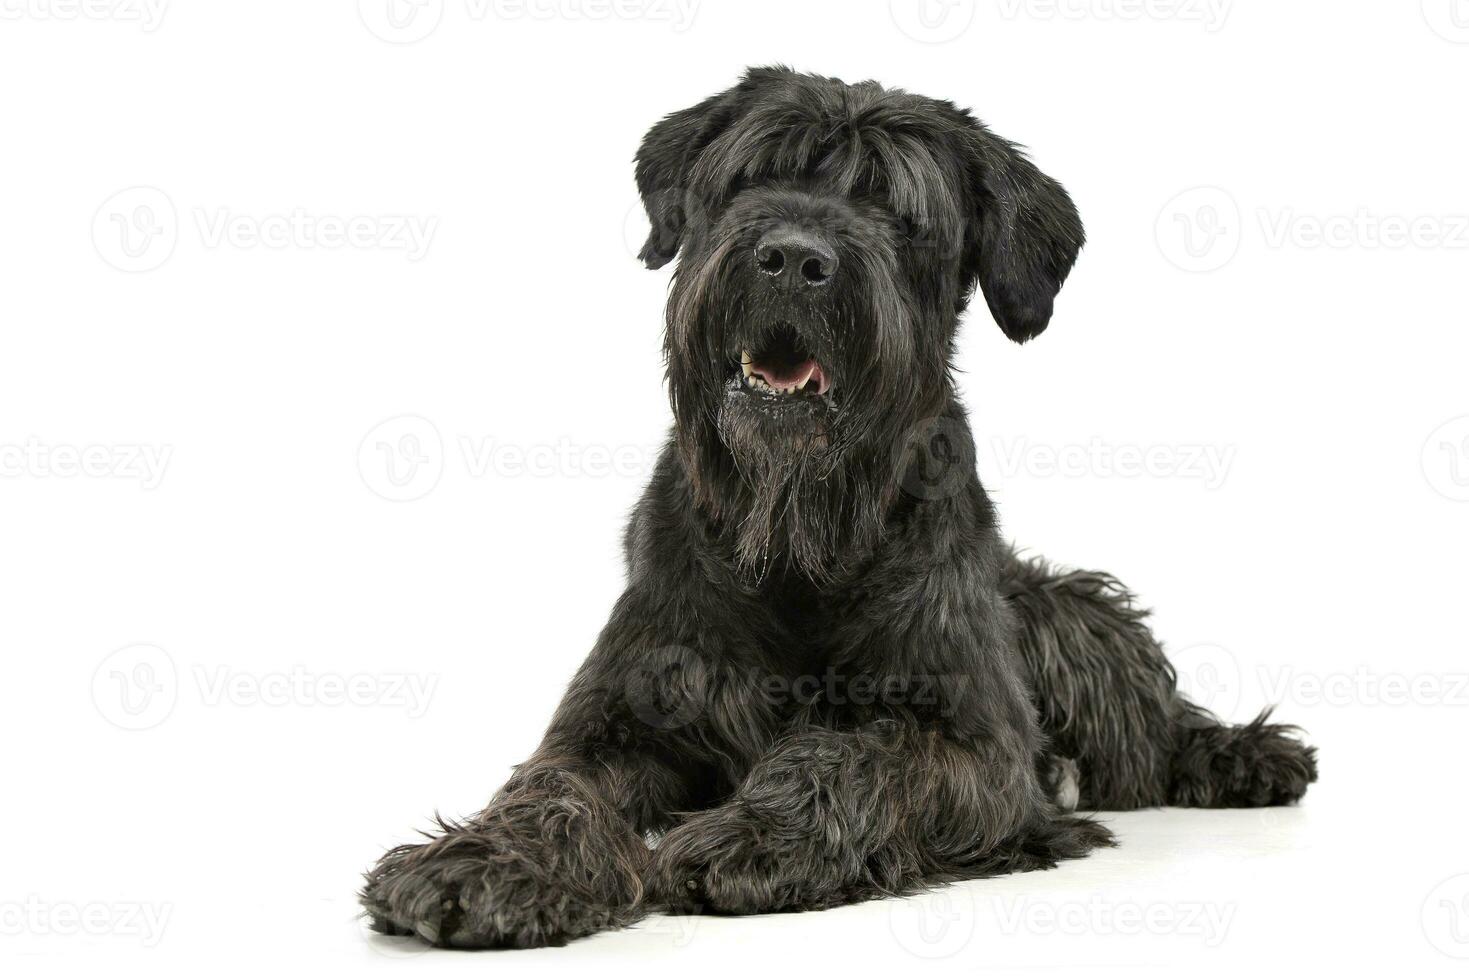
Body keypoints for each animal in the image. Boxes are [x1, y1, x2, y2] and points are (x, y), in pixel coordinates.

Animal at [358, 67, 1322, 952]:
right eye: (751, 176)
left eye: (899, 210)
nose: (793, 258)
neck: (796, 541)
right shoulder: (619, 712)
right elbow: (552, 785)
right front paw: (487, 863)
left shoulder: (974, 746)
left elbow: (850, 754)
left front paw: (752, 833)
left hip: (1066, 612)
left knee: (1150, 725)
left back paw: (1244, 753)